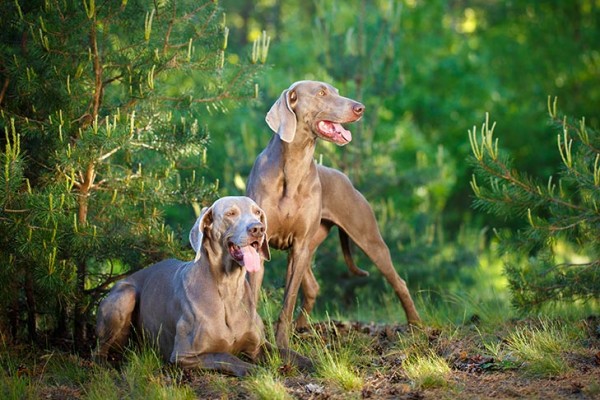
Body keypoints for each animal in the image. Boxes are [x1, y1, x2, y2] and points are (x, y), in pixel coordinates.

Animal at [95, 195, 308, 376]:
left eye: (257, 212)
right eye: (230, 214)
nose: (258, 228)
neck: (228, 288)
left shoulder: (258, 346)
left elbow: (291, 354)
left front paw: (310, 364)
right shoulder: (184, 355)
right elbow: (225, 355)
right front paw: (256, 370)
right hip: (125, 296)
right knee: (98, 351)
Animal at [248, 80, 422, 346]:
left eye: (337, 92)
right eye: (321, 93)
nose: (360, 108)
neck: (294, 166)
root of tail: (345, 178)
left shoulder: (299, 245)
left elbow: (288, 300)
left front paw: (282, 345)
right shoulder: (262, 244)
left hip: (366, 239)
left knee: (398, 281)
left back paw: (416, 324)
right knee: (312, 287)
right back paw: (301, 327)